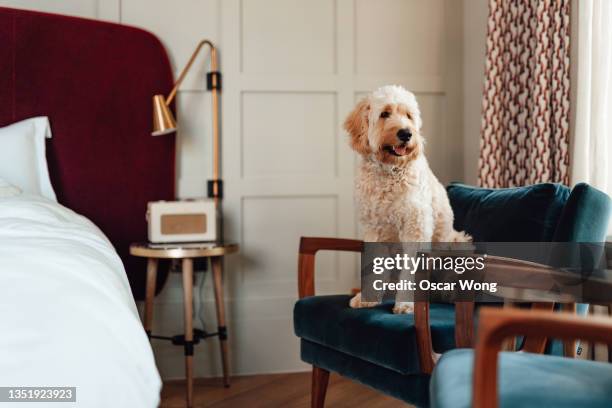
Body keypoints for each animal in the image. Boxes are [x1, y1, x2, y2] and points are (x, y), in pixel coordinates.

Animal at [344, 86, 468, 314]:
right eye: (385, 113)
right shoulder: (374, 230)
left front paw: (405, 304)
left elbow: (410, 272)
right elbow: (372, 267)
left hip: (457, 243)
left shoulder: (415, 227)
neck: (389, 172)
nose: (406, 133)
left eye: (409, 116)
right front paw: (367, 298)